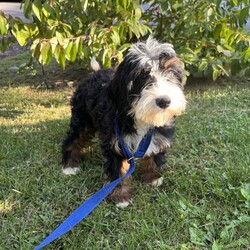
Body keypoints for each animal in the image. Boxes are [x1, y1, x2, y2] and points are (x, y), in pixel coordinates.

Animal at [61, 37, 187, 208]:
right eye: (142, 76)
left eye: (171, 73)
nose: (164, 101)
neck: (138, 116)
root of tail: (94, 73)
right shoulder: (116, 141)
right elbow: (118, 169)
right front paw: (121, 197)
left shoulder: (158, 134)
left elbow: (155, 153)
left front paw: (153, 178)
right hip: (82, 116)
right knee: (74, 137)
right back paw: (70, 165)